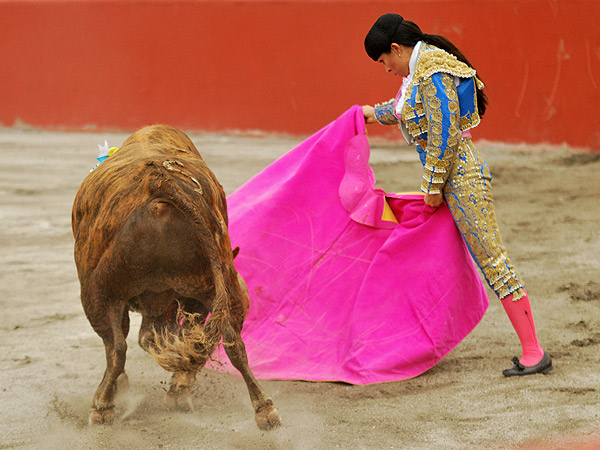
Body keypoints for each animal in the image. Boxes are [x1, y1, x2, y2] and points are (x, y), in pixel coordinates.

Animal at [71, 124, 282, 428]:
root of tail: (158, 180)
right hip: (220, 281)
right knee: (231, 340)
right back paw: (263, 409)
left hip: (97, 292)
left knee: (116, 347)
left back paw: (103, 406)